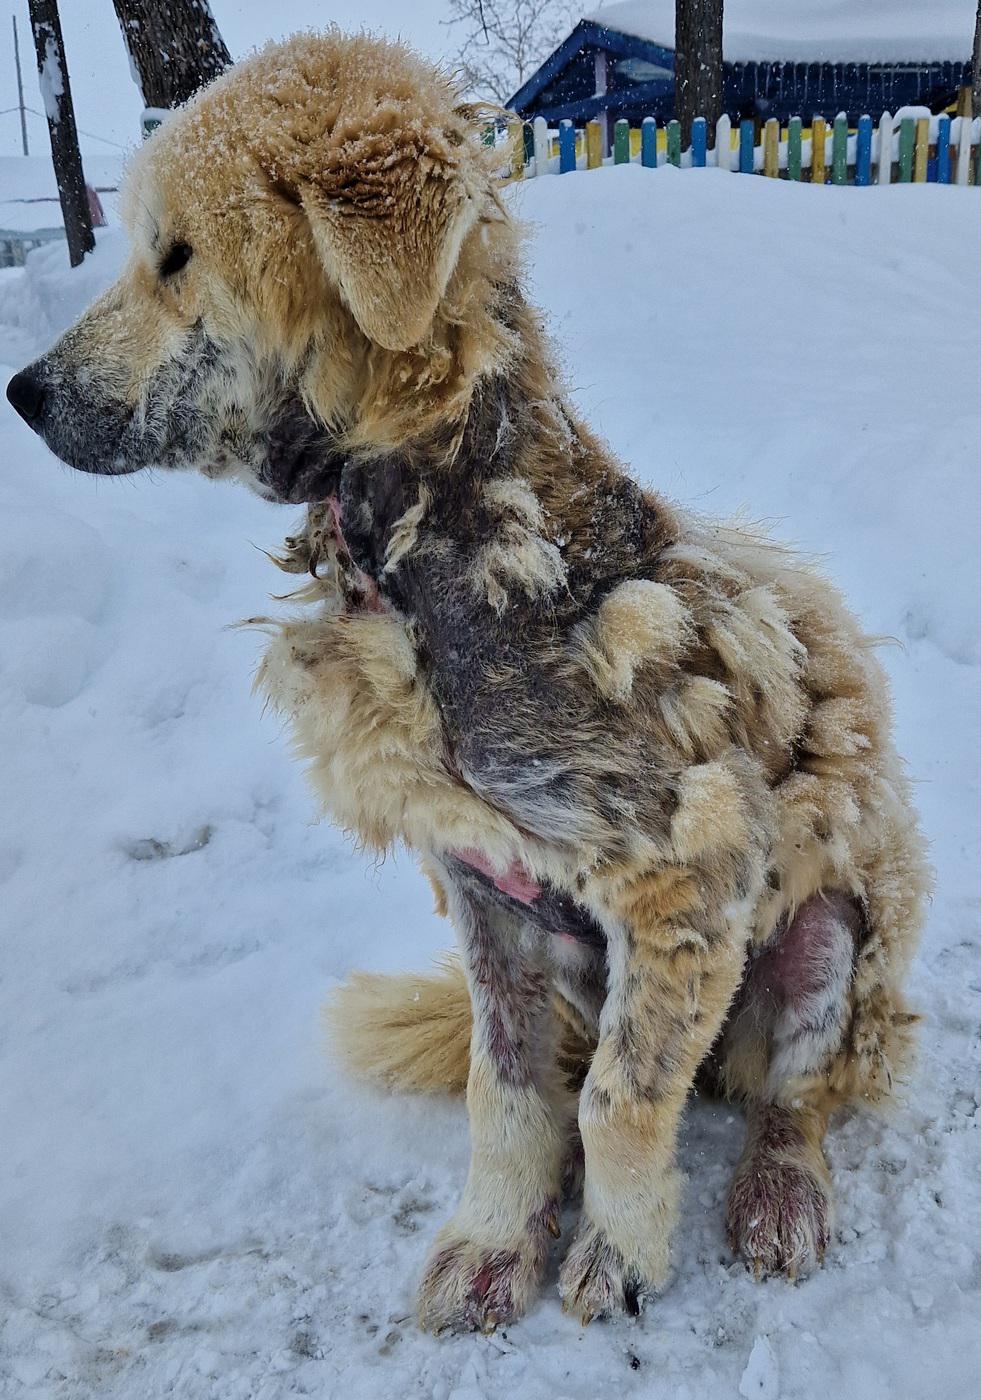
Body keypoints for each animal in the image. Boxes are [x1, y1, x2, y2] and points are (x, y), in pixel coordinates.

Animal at [5, 27, 923, 1327]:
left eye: (176, 255)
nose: (21, 392)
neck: (457, 539)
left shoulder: (687, 875)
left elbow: (622, 1098)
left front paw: (619, 1249)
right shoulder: (483, 885)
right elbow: (516, 1090)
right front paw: (498, 1234)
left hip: (832, 938)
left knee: (798, 1094)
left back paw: (778, 1188)